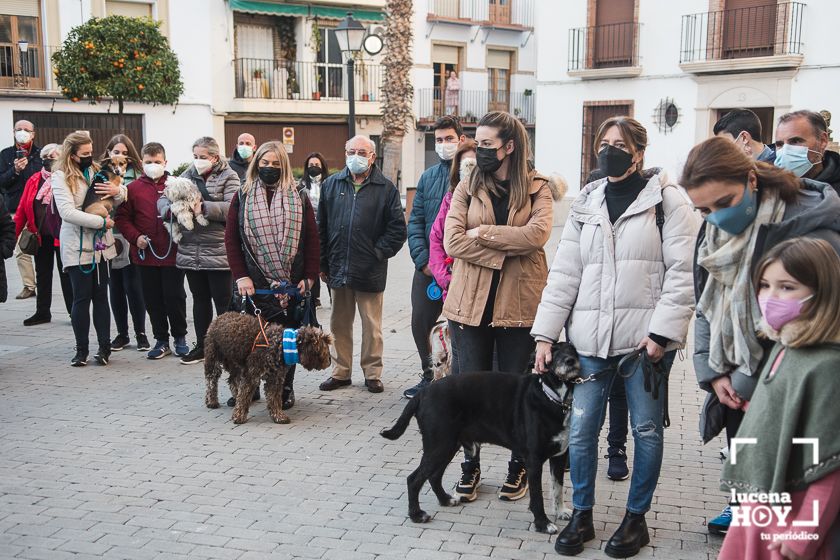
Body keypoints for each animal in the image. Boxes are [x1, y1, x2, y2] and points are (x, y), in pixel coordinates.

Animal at [203, 310, 332, 424]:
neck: (280, 344)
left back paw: (235, 396)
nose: (330, 362)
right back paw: (212, 401)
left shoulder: (275, 379)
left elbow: (274, 399)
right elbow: (244, 395)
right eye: (324, 350)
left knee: (232, 380)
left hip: (236, 363)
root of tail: (219, 317)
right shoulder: (251, 376)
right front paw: (239, 416)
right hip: (213, 357)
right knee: (211, 380)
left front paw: (278, 416)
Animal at [378, 342, 580, 532]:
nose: (571, 361)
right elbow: (537, 497)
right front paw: (543, 524)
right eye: (552, 351)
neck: (554, 398)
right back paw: (416, 515)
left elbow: (558, 487)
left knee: (434, 476)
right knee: (413, 480)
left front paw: (561, 511)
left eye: (573, 349)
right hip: (439, 445)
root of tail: (422, 393)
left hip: (447, 446)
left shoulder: (559, 456)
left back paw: (445, 500)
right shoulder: (534, 460)